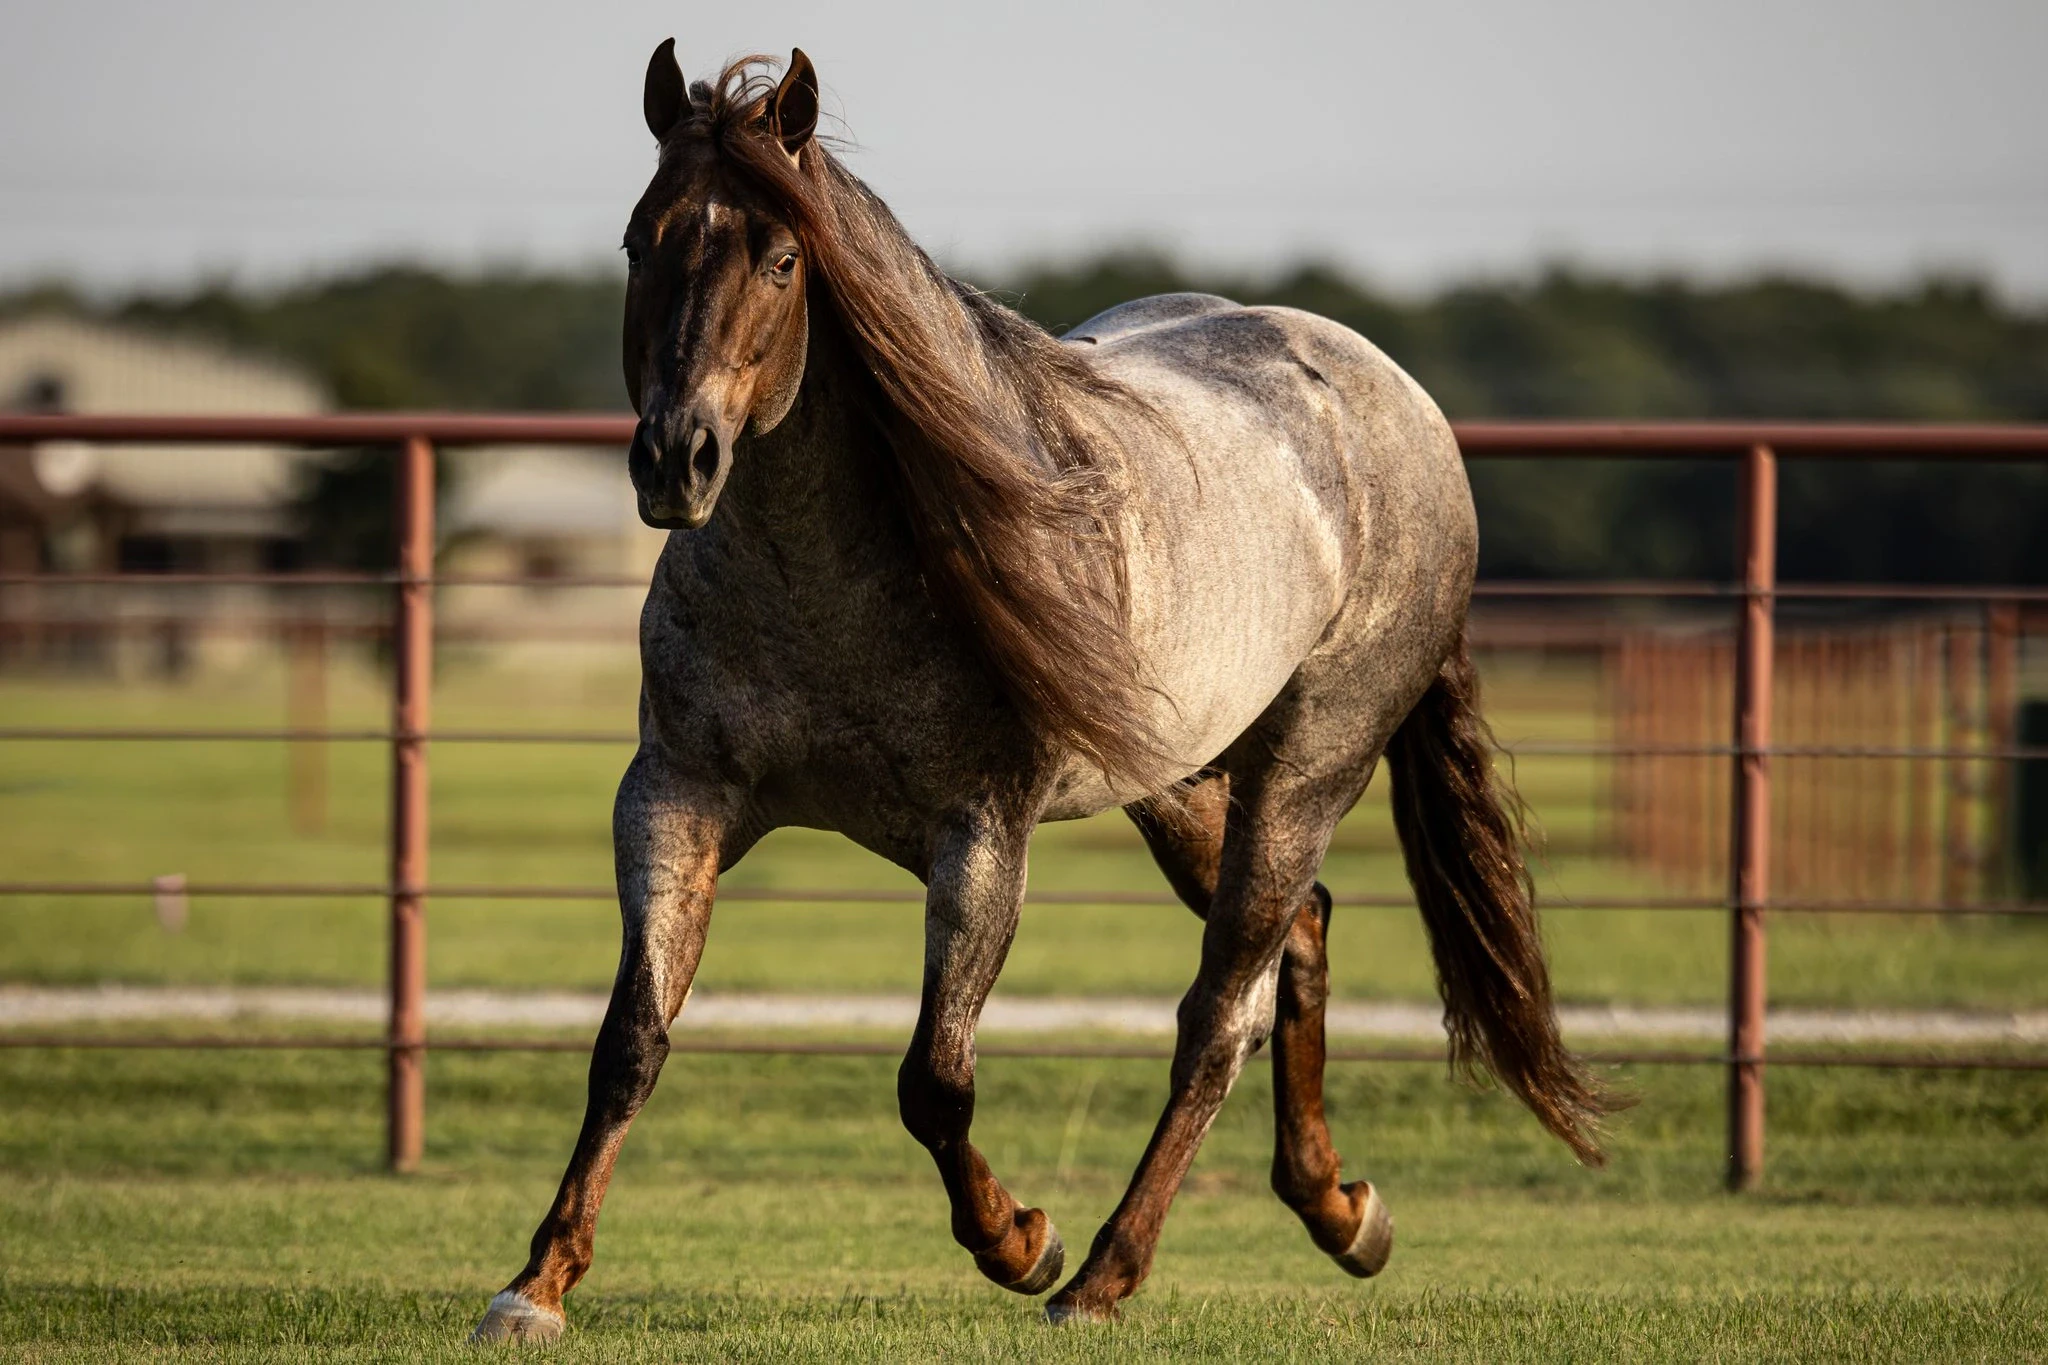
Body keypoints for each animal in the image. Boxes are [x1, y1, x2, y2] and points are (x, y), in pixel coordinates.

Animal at [472, 44, 1617, 1342]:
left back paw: (1102, 1278)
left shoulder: (980, 836)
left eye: (780, 258)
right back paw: (1338, 1212)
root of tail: (1399, 405)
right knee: (1299, 941)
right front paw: (535, 1284)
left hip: (1307, 769)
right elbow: (631, 1041)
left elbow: (932, 1080)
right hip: (1176, 781)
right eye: (637, 240)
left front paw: (1020, 1241)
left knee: (1216, 1016)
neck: (827, 589)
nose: (677, 458)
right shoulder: (674, 799)